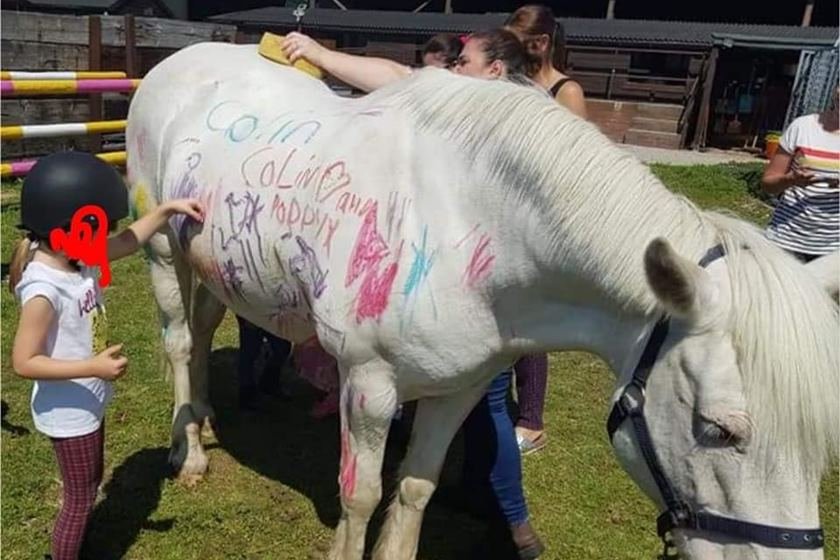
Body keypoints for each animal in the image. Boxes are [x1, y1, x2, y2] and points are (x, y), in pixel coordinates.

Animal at [126, 44, 840, 560]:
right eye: (720, 430)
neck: (472, 220)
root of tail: (177, 61)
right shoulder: (368, 386)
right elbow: (360, 498)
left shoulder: (462, 386)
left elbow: (415, 488)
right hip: (161, 247)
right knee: (180, 341)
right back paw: (188, 453)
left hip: (211, 263)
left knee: (206, 324)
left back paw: (205, 420)